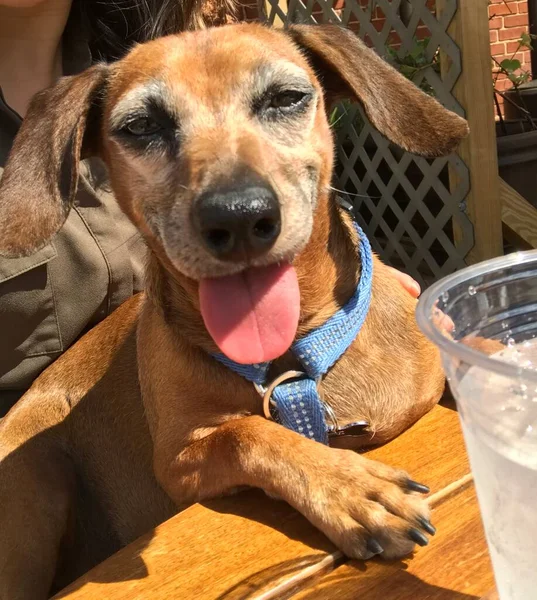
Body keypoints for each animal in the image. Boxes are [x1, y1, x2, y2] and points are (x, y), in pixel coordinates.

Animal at [0, 23, 466, 600]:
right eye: (141, 125)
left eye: (285, 98)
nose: (239, 216)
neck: (294, 357)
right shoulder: (180, 459)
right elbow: (251, 433)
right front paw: (352, 488)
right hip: (32, 481)